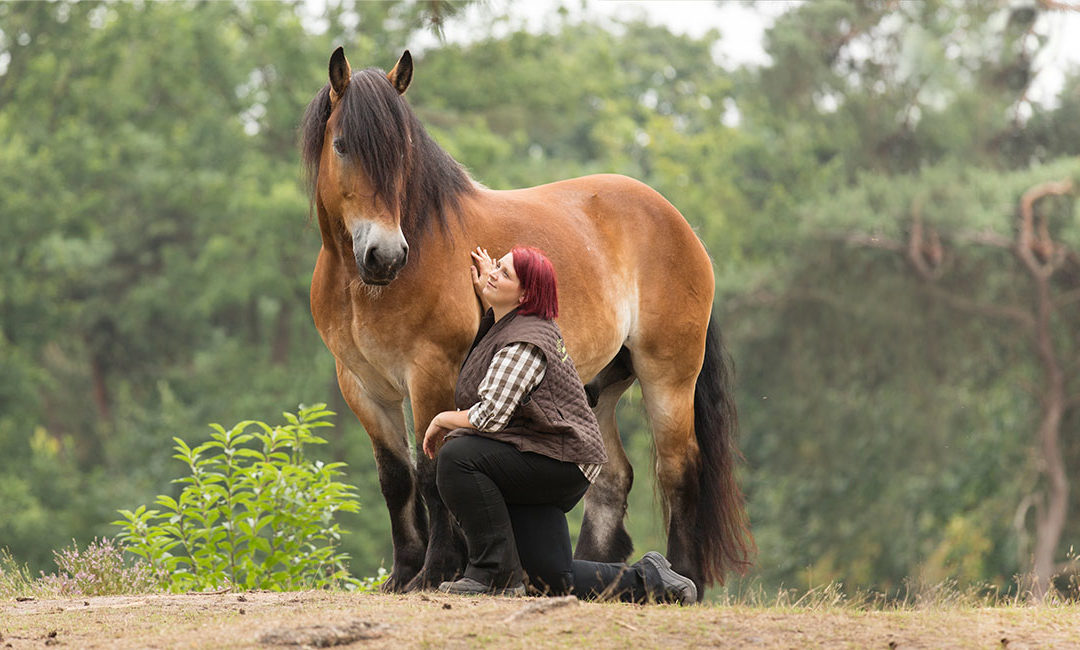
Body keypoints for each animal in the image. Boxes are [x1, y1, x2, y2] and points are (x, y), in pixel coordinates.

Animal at [295, 46, 751, 596]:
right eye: (341, 146)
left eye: (402, 151)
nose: (384, 256)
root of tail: (680, 224)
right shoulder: (362, 385)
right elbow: (396, 478)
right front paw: (403, 575)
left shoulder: (430, 374)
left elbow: (431, 469)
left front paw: (436, 571)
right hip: (598, 386)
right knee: (611, 477)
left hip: (668, 376)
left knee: (678, 469)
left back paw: (683, 579)